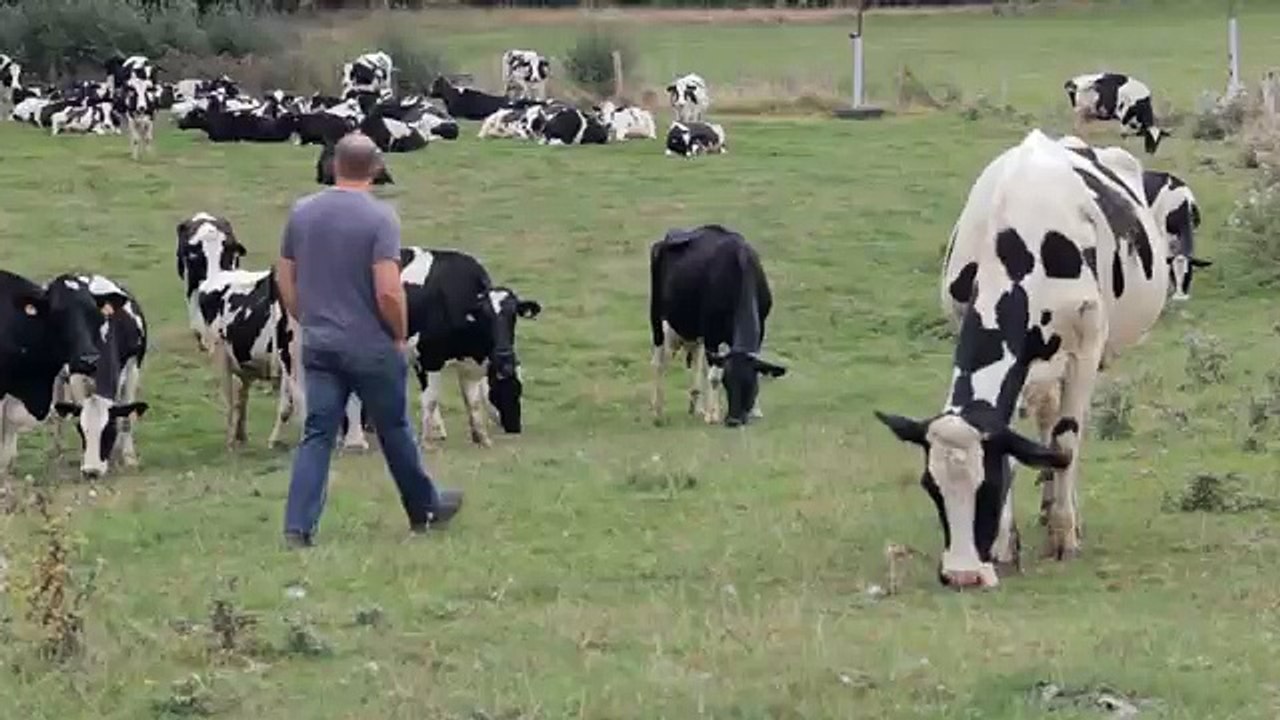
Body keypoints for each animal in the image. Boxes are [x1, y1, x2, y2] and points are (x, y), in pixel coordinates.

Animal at [47, 275, 148, 479]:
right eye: (81, 430)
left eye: (109, 430)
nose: (92, 472)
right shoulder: (76, 373)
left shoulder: (133, 366)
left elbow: (126, 416)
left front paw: (128, 458)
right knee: (56, 414)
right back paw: (58, 454)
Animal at [649, 225, 787, 429]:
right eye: (727, 383)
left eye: (750, 385)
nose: (733, 420)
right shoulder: (711, 333)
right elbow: (713, 376)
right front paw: (712, 415)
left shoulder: (760, 326)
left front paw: (755, 411)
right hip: (658, 320)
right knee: (659, 363)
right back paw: (658, 412)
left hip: (694, 331)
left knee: (697, 360)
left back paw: (696, 406)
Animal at [884, 129, 1170, 590]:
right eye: (931, 485)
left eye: (988, 485)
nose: (963, 575)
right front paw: (1005, 544)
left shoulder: (1087, 347)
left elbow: (1067, 439)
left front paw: (1064, 536)